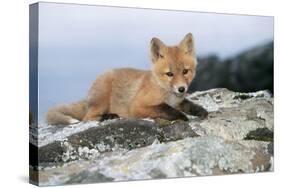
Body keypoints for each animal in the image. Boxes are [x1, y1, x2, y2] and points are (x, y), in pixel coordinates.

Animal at [47, 33, 207, 125]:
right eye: (169, 74)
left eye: (185, 71)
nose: (181, 89)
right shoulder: (137, 106)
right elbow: (165, 108)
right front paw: (182, 117)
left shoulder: (178, 101)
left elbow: (189, 105)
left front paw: (201, 111)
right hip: (102, 98)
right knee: (87, 117)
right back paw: (109, 116)